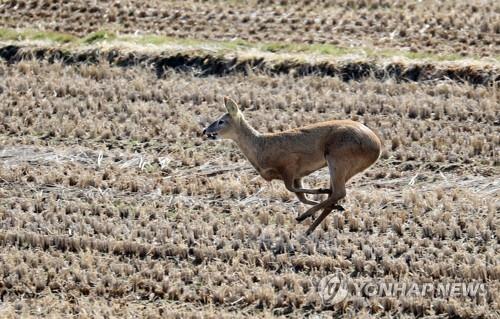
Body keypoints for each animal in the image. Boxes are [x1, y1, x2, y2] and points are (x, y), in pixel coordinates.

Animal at [201, 97, 380, 235]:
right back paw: (311, 227)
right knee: (336, 193)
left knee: (339, 191)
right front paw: (333, 203)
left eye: (221, 121)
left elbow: (292, 190)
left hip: (338, 157)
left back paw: (304, 217)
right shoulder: (298, 175)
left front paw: (321, 192)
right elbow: (301, 195)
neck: (260, 148)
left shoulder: (290, 165)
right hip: (345, 166)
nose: (204, 130)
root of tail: (377, 146)